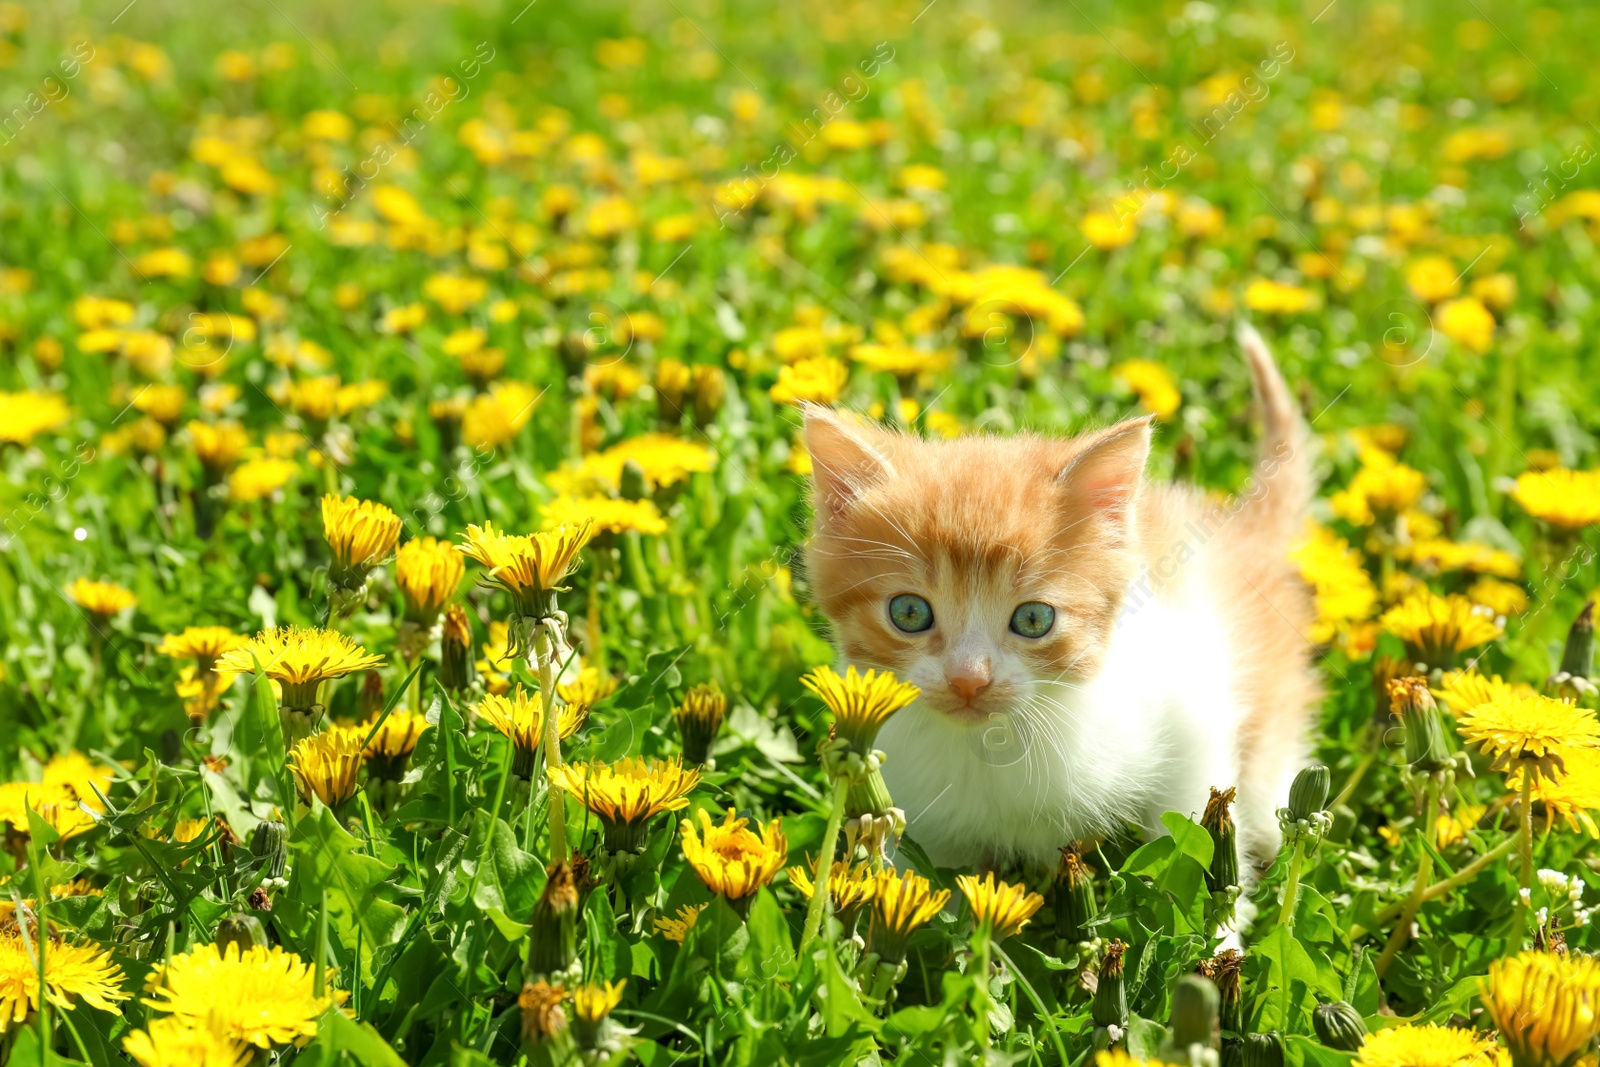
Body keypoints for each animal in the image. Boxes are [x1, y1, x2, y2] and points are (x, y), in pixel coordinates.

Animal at [806, 327, 1318, 876]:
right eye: (909, 613)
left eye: (1033, 618)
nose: (968, 680)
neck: (994, 741)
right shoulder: (931, 830)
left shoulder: (1190, 706)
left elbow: (1193, 831)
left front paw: (1221, 894)